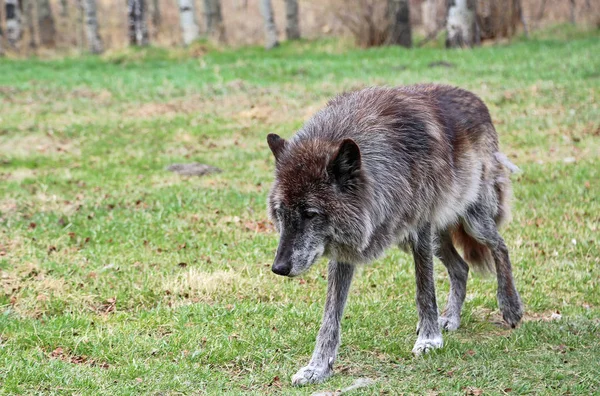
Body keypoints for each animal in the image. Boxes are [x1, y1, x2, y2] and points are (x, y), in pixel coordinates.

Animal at [264, 83, 524, 384]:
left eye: (310, 214)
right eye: (281, 213)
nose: (279, 268)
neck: (385, 166)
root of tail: (476, 99)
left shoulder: (420, 228)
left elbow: (425, 289)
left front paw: (429, 339)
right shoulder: (346, 249)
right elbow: (330, 316)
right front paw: (317, 367)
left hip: (471, 222)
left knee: (500, 246)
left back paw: (510, 306)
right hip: (429, 238)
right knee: (461, 267)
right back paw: (450, 318)